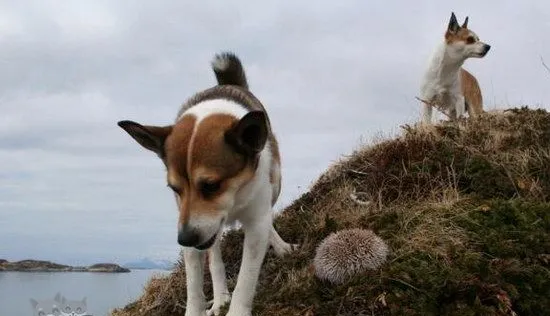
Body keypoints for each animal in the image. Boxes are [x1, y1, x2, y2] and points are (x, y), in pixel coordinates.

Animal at [117, 51, 298, 316]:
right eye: (175, 189)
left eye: (211, 185)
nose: (184, 239)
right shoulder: (190, 224)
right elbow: (194, 284)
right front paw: (203, 305)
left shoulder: (255, 222)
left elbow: (246, 278)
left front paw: (237, 310)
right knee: (214, 257)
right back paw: (221, 295)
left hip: (274, 185)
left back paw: (280, 245)